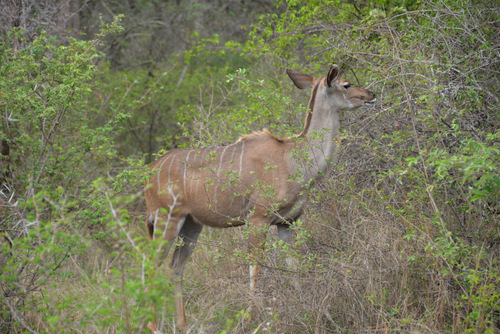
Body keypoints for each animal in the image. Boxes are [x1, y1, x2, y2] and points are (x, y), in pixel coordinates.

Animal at [145, 63, 376, 332]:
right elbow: (255, 267)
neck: (295, 159)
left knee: (175, 267)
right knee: (151, 266)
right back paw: (154, 326)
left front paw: (302, 306)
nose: (371, 95)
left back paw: (183, 324)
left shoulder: (287, 222)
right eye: (346, 84)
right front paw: (250, 319)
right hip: (166, 220)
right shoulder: (257, 218)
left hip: (192, 225)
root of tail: (149, 173)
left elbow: (293, 263)